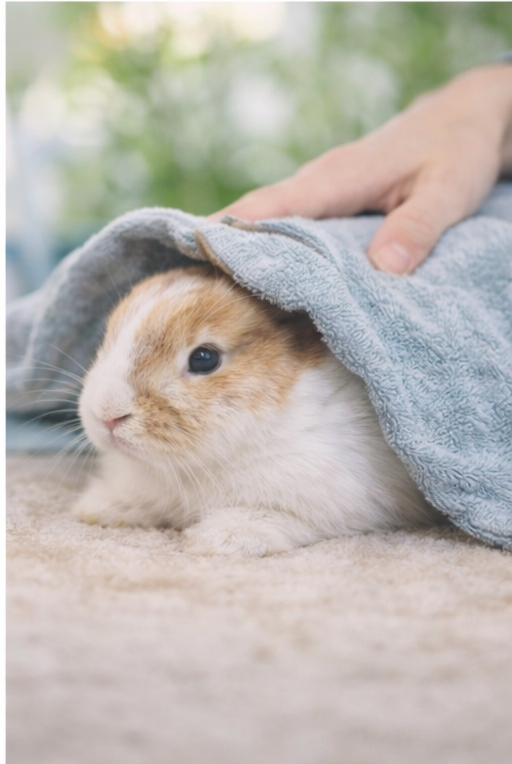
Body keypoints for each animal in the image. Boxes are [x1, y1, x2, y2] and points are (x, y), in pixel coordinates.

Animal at [73, 264, 437, 556]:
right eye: (108, 338)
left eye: (204, 358)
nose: (106, 414)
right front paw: (97, 506)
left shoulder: (333, 500)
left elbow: (272, 517)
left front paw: (215, 539)